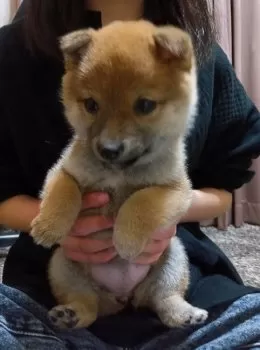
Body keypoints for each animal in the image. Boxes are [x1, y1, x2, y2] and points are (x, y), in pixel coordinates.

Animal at [31, 20, 209, 330]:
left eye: (145, 105)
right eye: (91, 105)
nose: (109, 149)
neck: (120, 172)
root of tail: (122, 298)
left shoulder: (176, 189)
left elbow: (142, 201)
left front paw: (126, 239)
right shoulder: (64, 169)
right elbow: (64, 191)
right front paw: (48, 225)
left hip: (173, 259)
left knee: (164, 300)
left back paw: (185, 313)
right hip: (62, 264)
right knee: (87, 306)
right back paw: (70, 315)